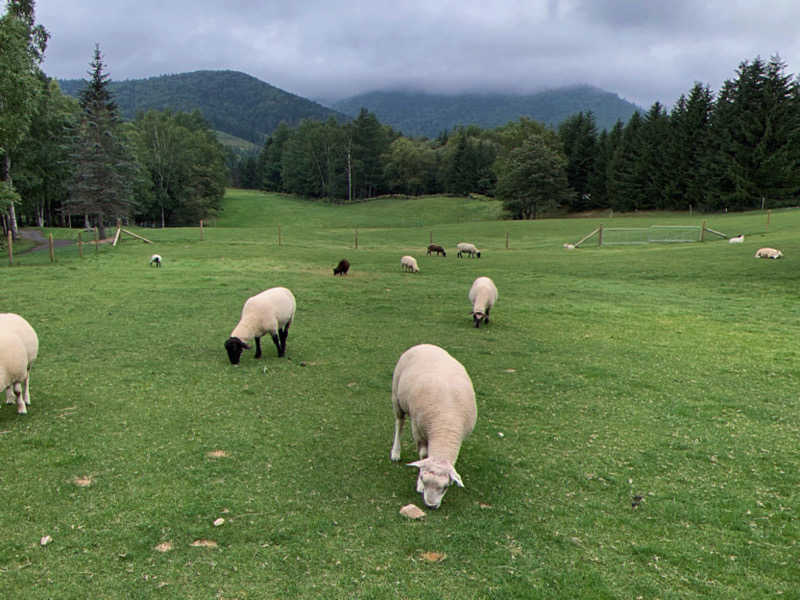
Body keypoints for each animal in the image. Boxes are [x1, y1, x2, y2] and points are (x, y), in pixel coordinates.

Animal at [390, 344, 476, 508]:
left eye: (445, 487)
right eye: (424, 480)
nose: (430, 505)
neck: (445, 424)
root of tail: (424, 345)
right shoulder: (418, 429)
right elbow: (424, 455)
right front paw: (419, 485)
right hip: (397, 397)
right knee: (399, 423)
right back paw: (396, 452)